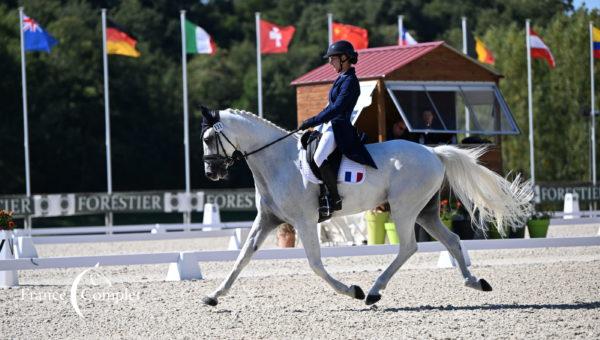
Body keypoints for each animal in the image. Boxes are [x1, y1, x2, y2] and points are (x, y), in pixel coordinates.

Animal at [199, 108, 532, 306]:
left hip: (403, 208)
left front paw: (351, 290)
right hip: (425, 212)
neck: (280, 161)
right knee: (451, 239)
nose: (211, 173)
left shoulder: (304, 221)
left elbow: (315, 264)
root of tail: (433, 152)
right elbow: (242, 258)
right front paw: (214, 295)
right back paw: (474, 282)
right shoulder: (267, 220)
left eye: (208, 137)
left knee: (409, 247)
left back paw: (372, 292)